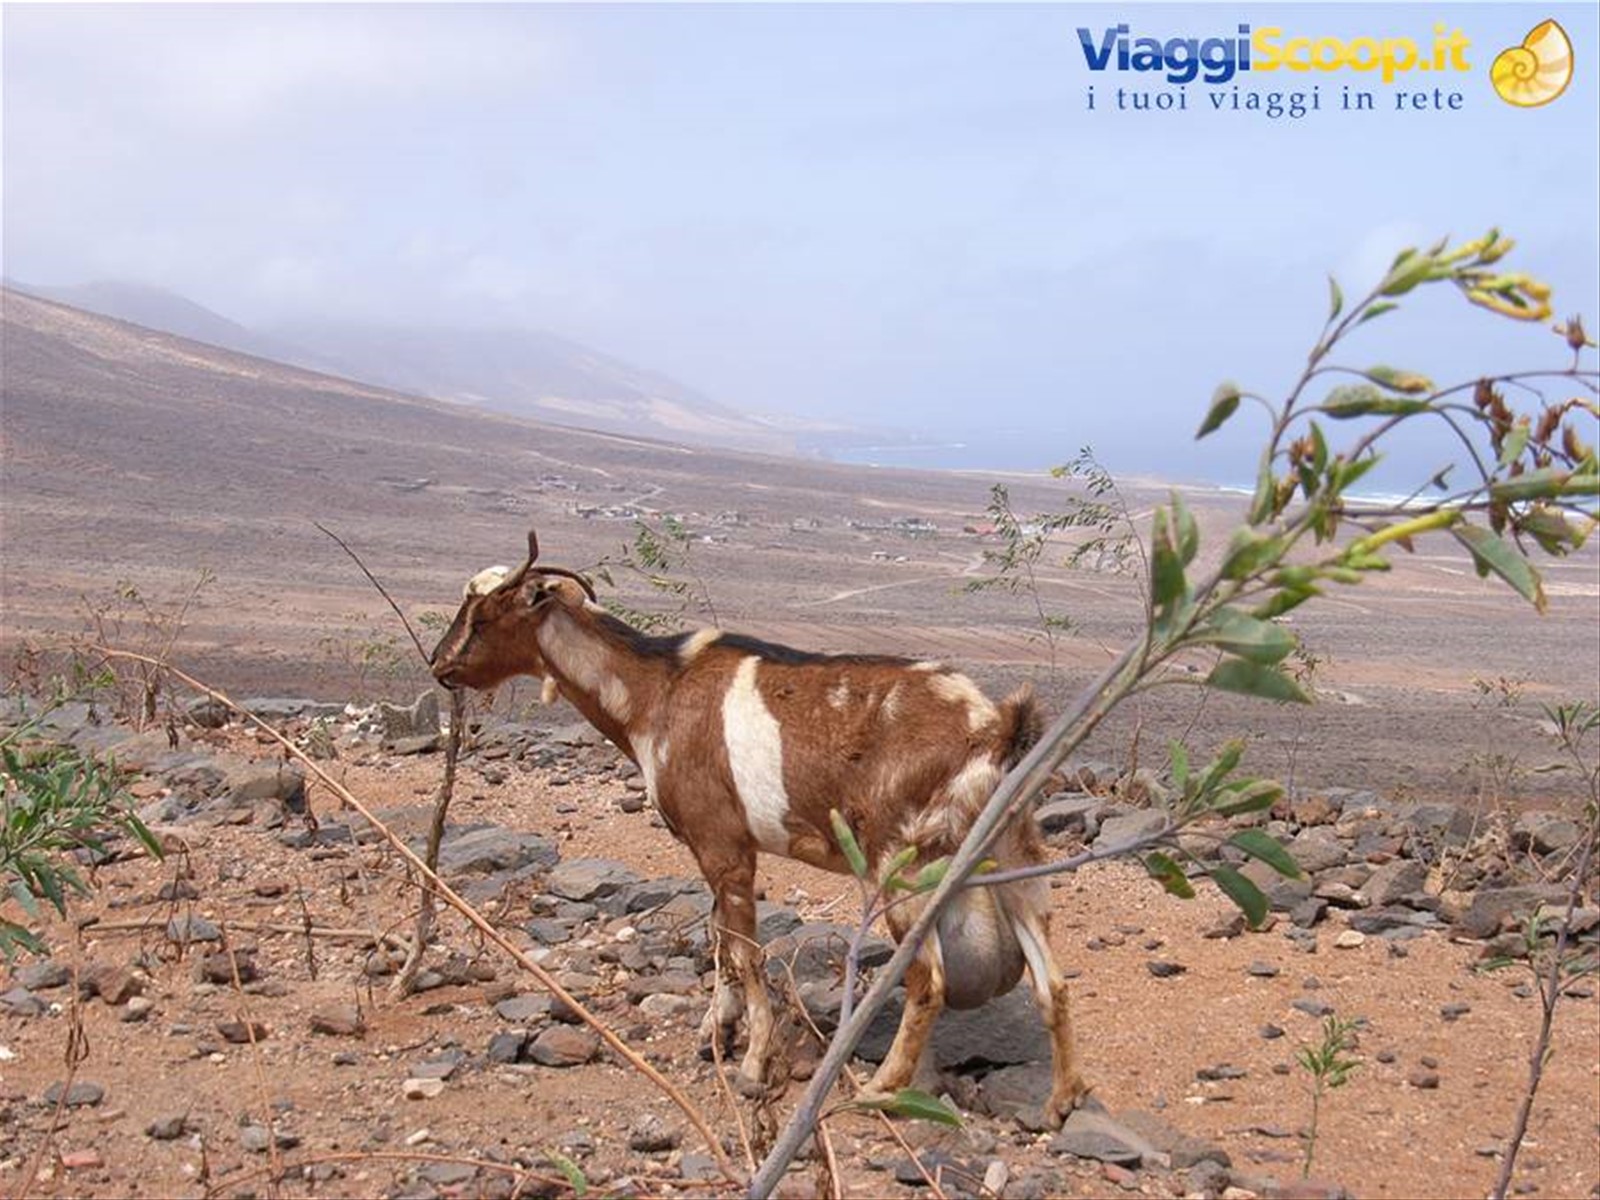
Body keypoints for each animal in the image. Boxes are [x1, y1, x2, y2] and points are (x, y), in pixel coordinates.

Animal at [431, 530, 1087, 1122]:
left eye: (482, 615)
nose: (439, 664)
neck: (655, 691)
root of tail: (995, 729)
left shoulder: (722, 844)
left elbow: (745, 953)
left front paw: (752, 1064)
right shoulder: (715, 848)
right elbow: (719, 940)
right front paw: (714, 1035)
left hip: (901, 863)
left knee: (929, 980)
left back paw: (882, 1088)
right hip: (1016, 854)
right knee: (1052, 983)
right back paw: (1061, 1101)